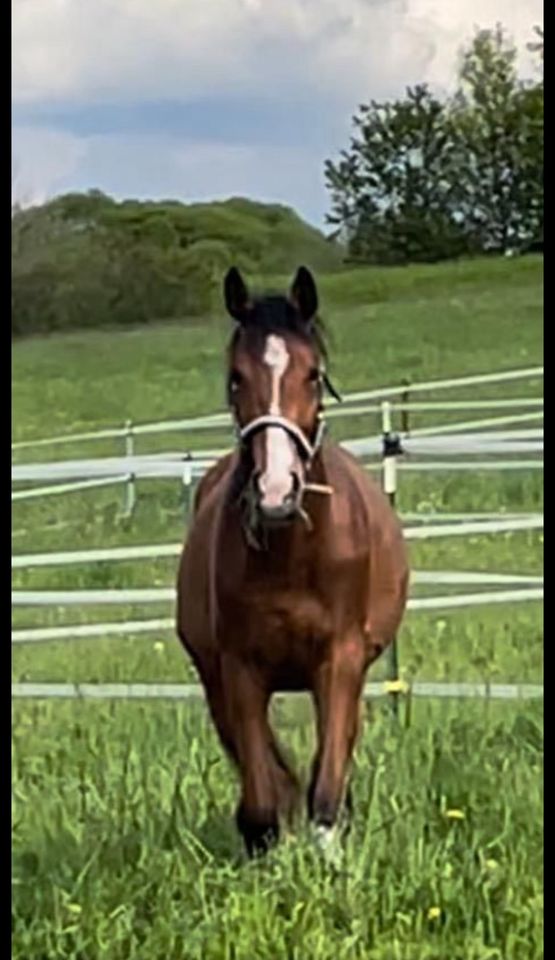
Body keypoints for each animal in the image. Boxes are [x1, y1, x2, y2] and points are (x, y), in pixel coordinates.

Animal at [178, 266, 408, 860]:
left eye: (313, 375)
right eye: (236, 378)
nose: (276, 492)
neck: (293, 555)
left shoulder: (341, 660)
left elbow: (325, 792)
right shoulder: (238, 669)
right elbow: (262, 801)